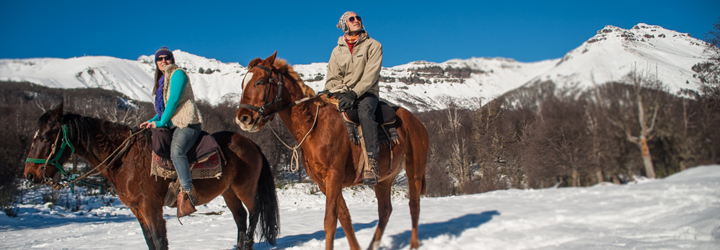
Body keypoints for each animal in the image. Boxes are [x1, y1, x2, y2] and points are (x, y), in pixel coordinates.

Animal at [22, 102, 282, 249]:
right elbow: (150, 241)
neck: (125, 158)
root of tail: (251, 144)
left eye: (46, 137)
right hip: (228, 192)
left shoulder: (150, 207)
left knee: (253, 214)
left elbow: (159, 241)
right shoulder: (138, 210)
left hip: (244, 188)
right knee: (240, 218)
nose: (30, 174)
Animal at [235, 51, 428, 249]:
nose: (243, 118)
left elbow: (330, 221)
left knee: (414, 206)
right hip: (384, 179)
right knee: (385, 211)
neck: (315, 127)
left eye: (260, 81)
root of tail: (416, 122)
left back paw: (414, 244)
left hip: (415, 172)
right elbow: (344, 218)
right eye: (243, 84)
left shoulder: (334, 176)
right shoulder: (324, 182)